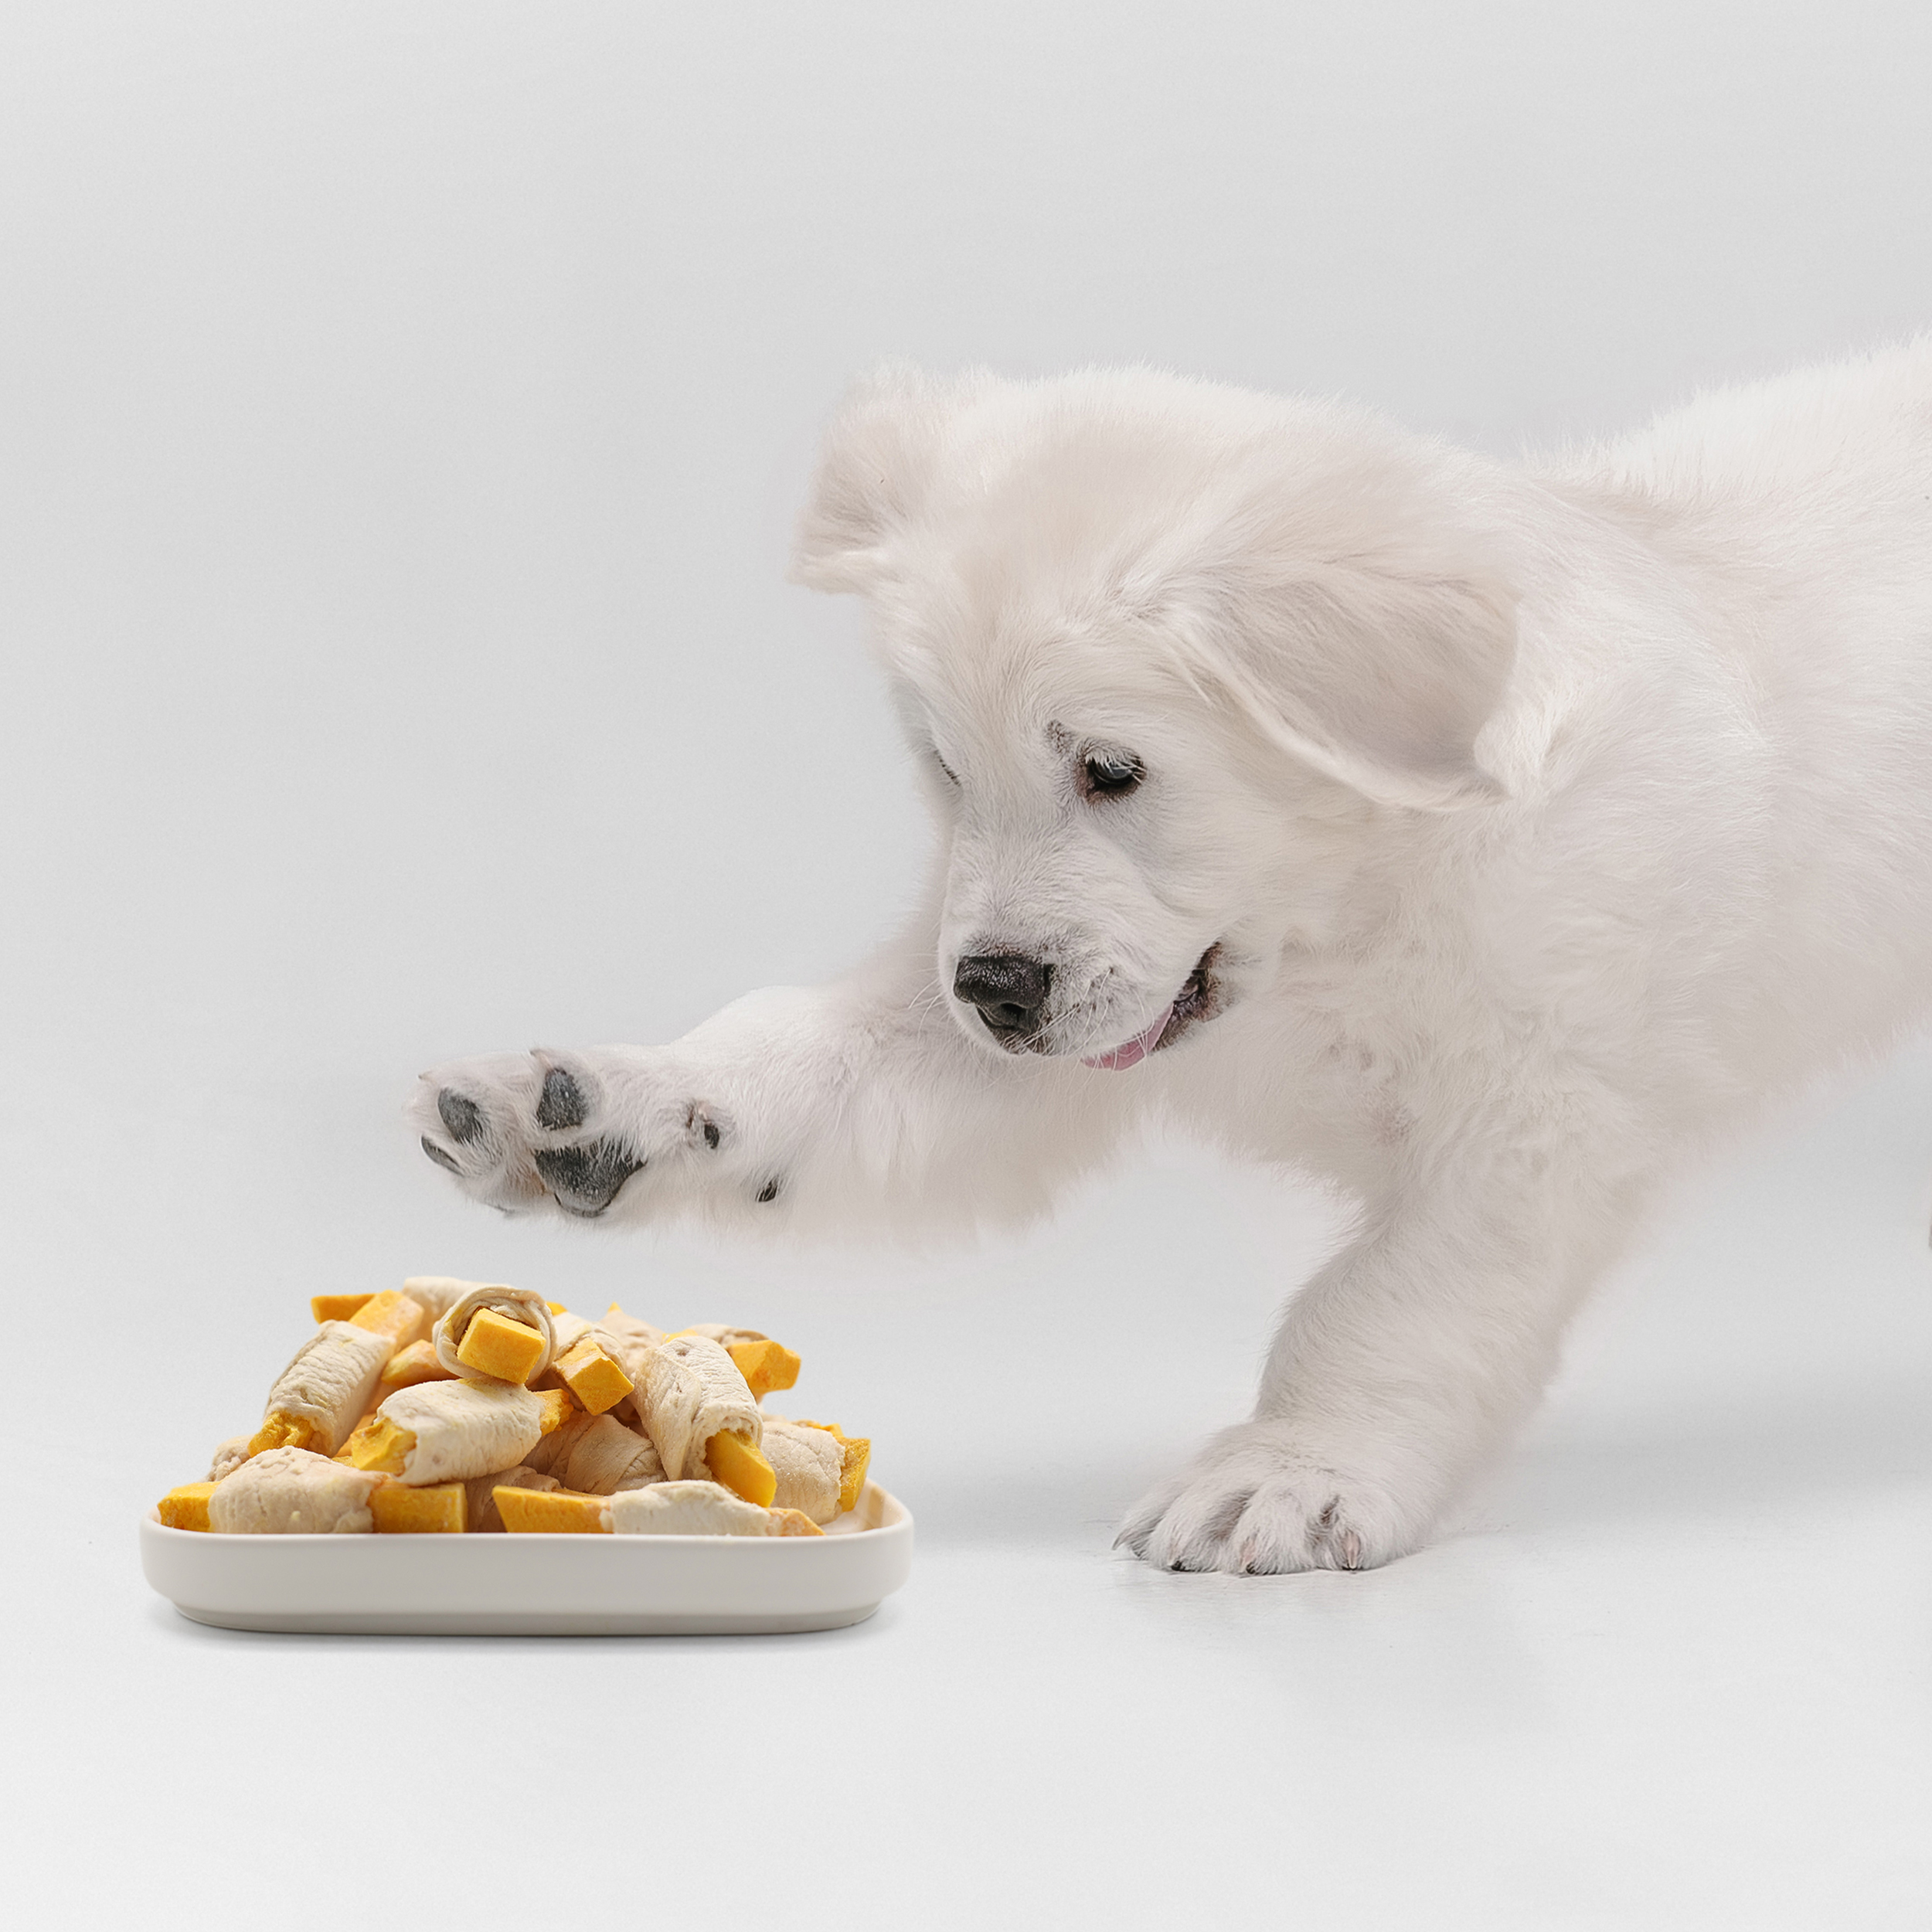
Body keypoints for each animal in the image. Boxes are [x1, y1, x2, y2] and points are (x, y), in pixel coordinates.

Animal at [415, 344, 1932, 1569]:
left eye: (1112, 769)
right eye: (946, 769)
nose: (992, 995)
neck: (1346, 915)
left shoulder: (1531, 1119)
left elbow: (1382, 1304)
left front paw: (1292, 1471)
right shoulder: (1024, 1040)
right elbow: (806, 1050)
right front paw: (591, 1110)